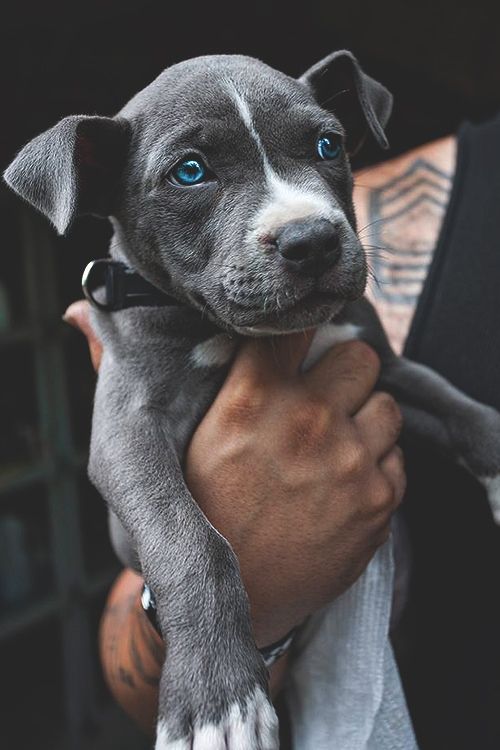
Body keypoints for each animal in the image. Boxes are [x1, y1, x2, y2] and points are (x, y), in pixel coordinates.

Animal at [3, 53, 500, 750]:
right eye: (190, 171)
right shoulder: (127, 433)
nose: (312, 238)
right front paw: (218, 698)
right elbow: (190, 541)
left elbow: (459, 407)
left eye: (328, 144)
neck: (236, 334)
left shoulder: (380, 361)